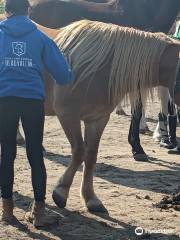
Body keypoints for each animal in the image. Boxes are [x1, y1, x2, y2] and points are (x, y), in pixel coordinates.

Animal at [39, 21, 180, 212]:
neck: (100, 67)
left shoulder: (98, 119)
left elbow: (91, 155)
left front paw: (91, 198)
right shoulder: (68, 115)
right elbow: (79, 152)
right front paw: (61, 192)